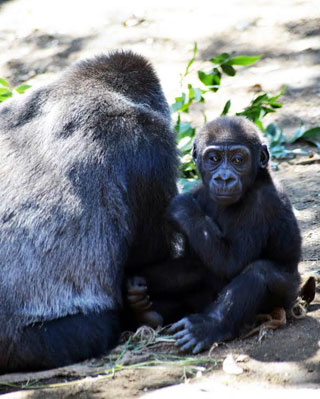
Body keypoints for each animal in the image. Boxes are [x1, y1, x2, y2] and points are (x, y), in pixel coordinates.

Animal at [126, 117, 302, 354]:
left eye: (238, 159)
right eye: (214, 159)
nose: (225, 178)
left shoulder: (262, 203)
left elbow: (232, 262)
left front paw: (182, 208)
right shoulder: (200, 192)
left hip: (287, 297)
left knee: (260, 272)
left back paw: (207, 327)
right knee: (196, 268)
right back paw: (141, 303)